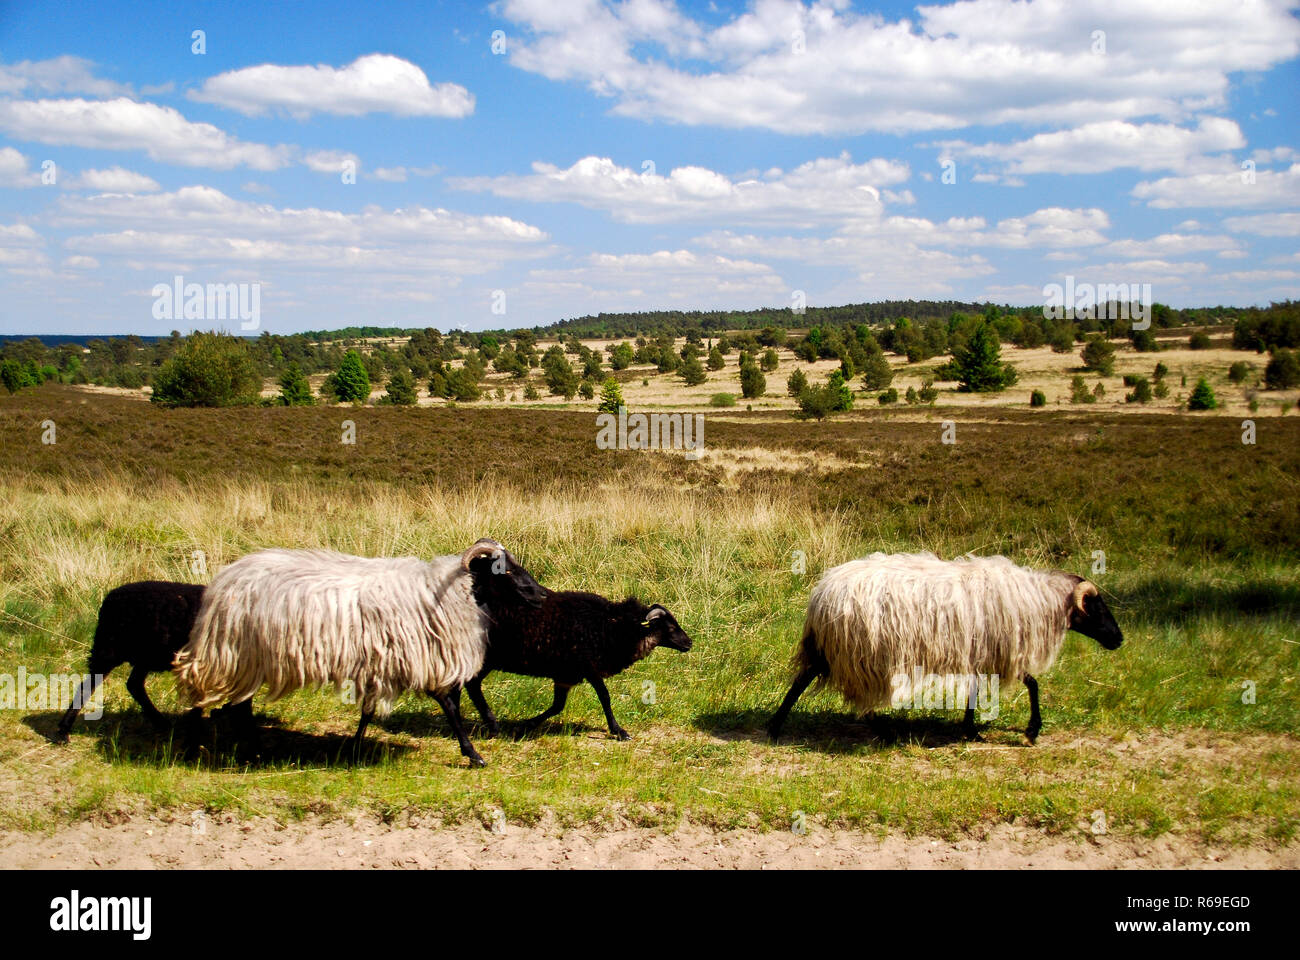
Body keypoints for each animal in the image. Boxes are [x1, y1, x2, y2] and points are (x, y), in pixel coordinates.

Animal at [56, 574, 248, 738]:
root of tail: (111, 595)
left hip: (144, 656)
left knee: (134, 684)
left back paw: (161, 722)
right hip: (108, 649)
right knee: (89, 685)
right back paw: (63, 730)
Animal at [172, 535, 543, 764]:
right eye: (502, 569)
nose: (541, 594)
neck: (448, 594)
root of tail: (223, 582)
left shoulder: (381, 663)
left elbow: (367, 709)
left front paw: (355, 746)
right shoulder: (412, 659)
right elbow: (449, 706)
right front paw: (473, 754)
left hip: (247, 658)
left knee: (239, 705)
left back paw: (249, 746)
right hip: (239, 655)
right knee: (229, 702)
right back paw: (231, 747)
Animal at [462, 574, 696, 738]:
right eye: (670, 626)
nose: (689, 643)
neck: (613, 626)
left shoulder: (566, 675)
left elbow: (558, 706)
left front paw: (525, 725)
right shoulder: (588, 668)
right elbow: (605, 697)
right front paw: (618, 731)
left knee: (473, 685)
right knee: (472, 685)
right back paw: (492, 725)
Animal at [764, 554, 1123, 738]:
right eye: (1097, 607)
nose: (1118, 639)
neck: (1038, 600)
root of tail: (822, 592)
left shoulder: (980, 652)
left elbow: (980, 690)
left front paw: (970, 727)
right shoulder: (1001, 650)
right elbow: (1032, 683)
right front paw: (1031, 729)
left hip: (837, 650)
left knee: (802, 679)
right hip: (858, 651)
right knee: (813, 682)